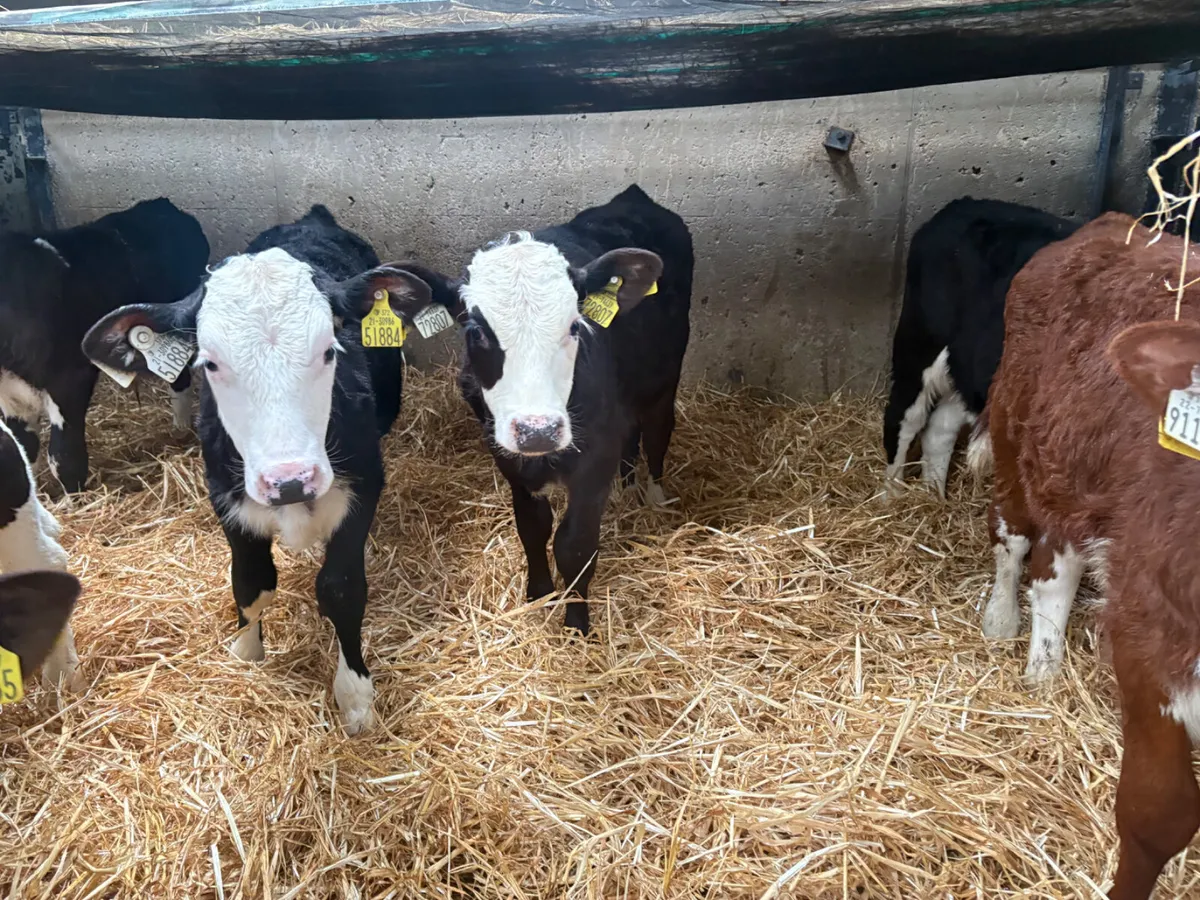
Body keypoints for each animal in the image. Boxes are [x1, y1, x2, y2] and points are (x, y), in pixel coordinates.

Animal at [0, 198, 210, 492]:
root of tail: (160, 204)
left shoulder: (70, 378)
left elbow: (64, 458)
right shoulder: (8, 395)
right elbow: (24, 447)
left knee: (180, 377)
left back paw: (181, 429)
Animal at [81, 204, 432, 734]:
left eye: (330, 349)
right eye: (209, 363)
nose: (290, 480)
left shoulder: (363, 487)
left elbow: (341, 587)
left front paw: (355, 696)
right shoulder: (226, 496)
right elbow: (251, 582)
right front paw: (246, 652)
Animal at [373, 184, 693, 635]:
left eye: (575, 325)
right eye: (475, 331)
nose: (537, 430)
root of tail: (635, 198)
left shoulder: (594, 461)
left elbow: (575, 544)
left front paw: (576, 624)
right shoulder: (508, 455)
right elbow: (533, 527)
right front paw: (539, 594)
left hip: (664, 378)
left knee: (658, 435)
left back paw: (654, 496)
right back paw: (628, 488)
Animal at [884, 197, 1078, 498]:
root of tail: (961, 205)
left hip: (965, 368)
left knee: (940, 428)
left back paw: (934, 497)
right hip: (919, 344)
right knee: (904, 417)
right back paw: (890, 497)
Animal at [980, 211, 1200, 899]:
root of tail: (1117, 222)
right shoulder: (1150, 643)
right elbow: (1157, 814)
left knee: (1060, 561)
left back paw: (1044, 668)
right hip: (1015, 424)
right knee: (1017, 540)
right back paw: (1003, 626)